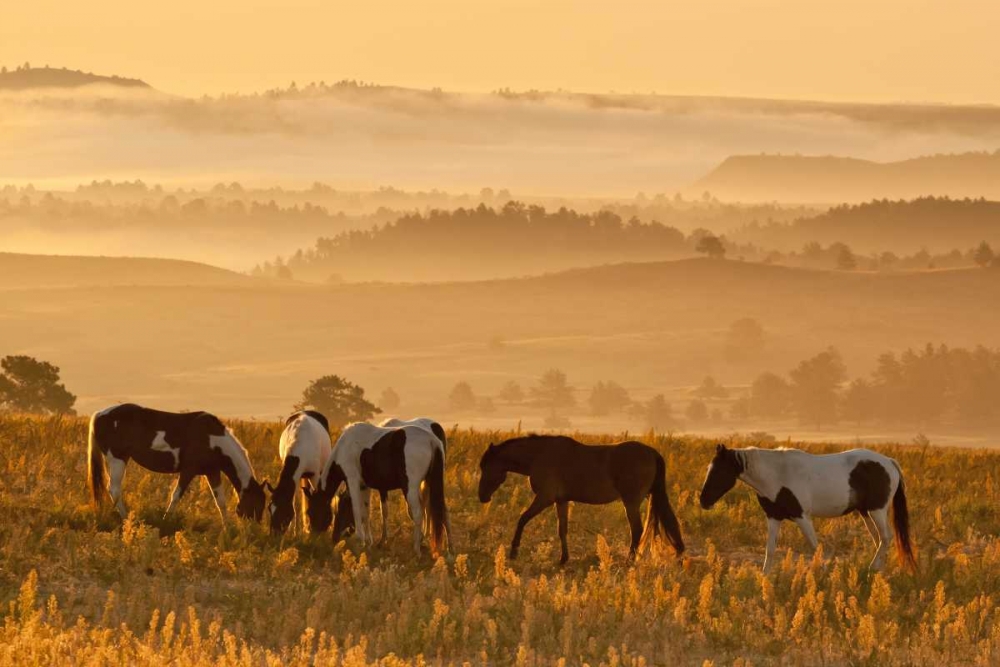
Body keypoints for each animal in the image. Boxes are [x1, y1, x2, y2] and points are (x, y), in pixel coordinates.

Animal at [87, 403, 267, 521]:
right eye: (256, 503)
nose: (253, 531)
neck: (212, 439)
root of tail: (100, 414)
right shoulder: (188, 471)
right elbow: (176, 496)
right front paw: (166, 519)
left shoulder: (212, 472)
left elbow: (220, 501)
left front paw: (227, 527)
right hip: (117, 459)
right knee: (114, 490)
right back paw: (126, 519)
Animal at [307, 422, 451, 556]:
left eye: (310, 511)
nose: (313, 539)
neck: (344, 447)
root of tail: (432, 440)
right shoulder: (364, 486)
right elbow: (365, 512)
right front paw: (368, 543)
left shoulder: (353, 481)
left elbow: (357, 510)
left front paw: (360, 541)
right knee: (443, 512)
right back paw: (449, 549)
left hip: (411, 488)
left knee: (417, 514)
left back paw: (416, 550)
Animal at [477, 435, 685, 564]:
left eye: (486, 467)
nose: (482, 496)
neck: (539, 455)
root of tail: (651, 452)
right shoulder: (561, 501)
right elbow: (562, 529)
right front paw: (563, 559)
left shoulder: (544, 498)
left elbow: (522, 519)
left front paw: (514, 551)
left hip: (631, 502)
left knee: (637, 530)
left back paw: (629, 560)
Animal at [699, 444, 916, 572]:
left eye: (719, 471)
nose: (703, 501)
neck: (777, 474)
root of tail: (889, 462)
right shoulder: (773, 517)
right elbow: (770, 549)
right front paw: (764, 578)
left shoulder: (802, 516)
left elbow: (815, 546)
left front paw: (824, 574)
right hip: (865, 512)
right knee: (879, 539)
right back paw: (878, 571)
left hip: (877, 510)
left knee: (885, 537)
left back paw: (872, 570)